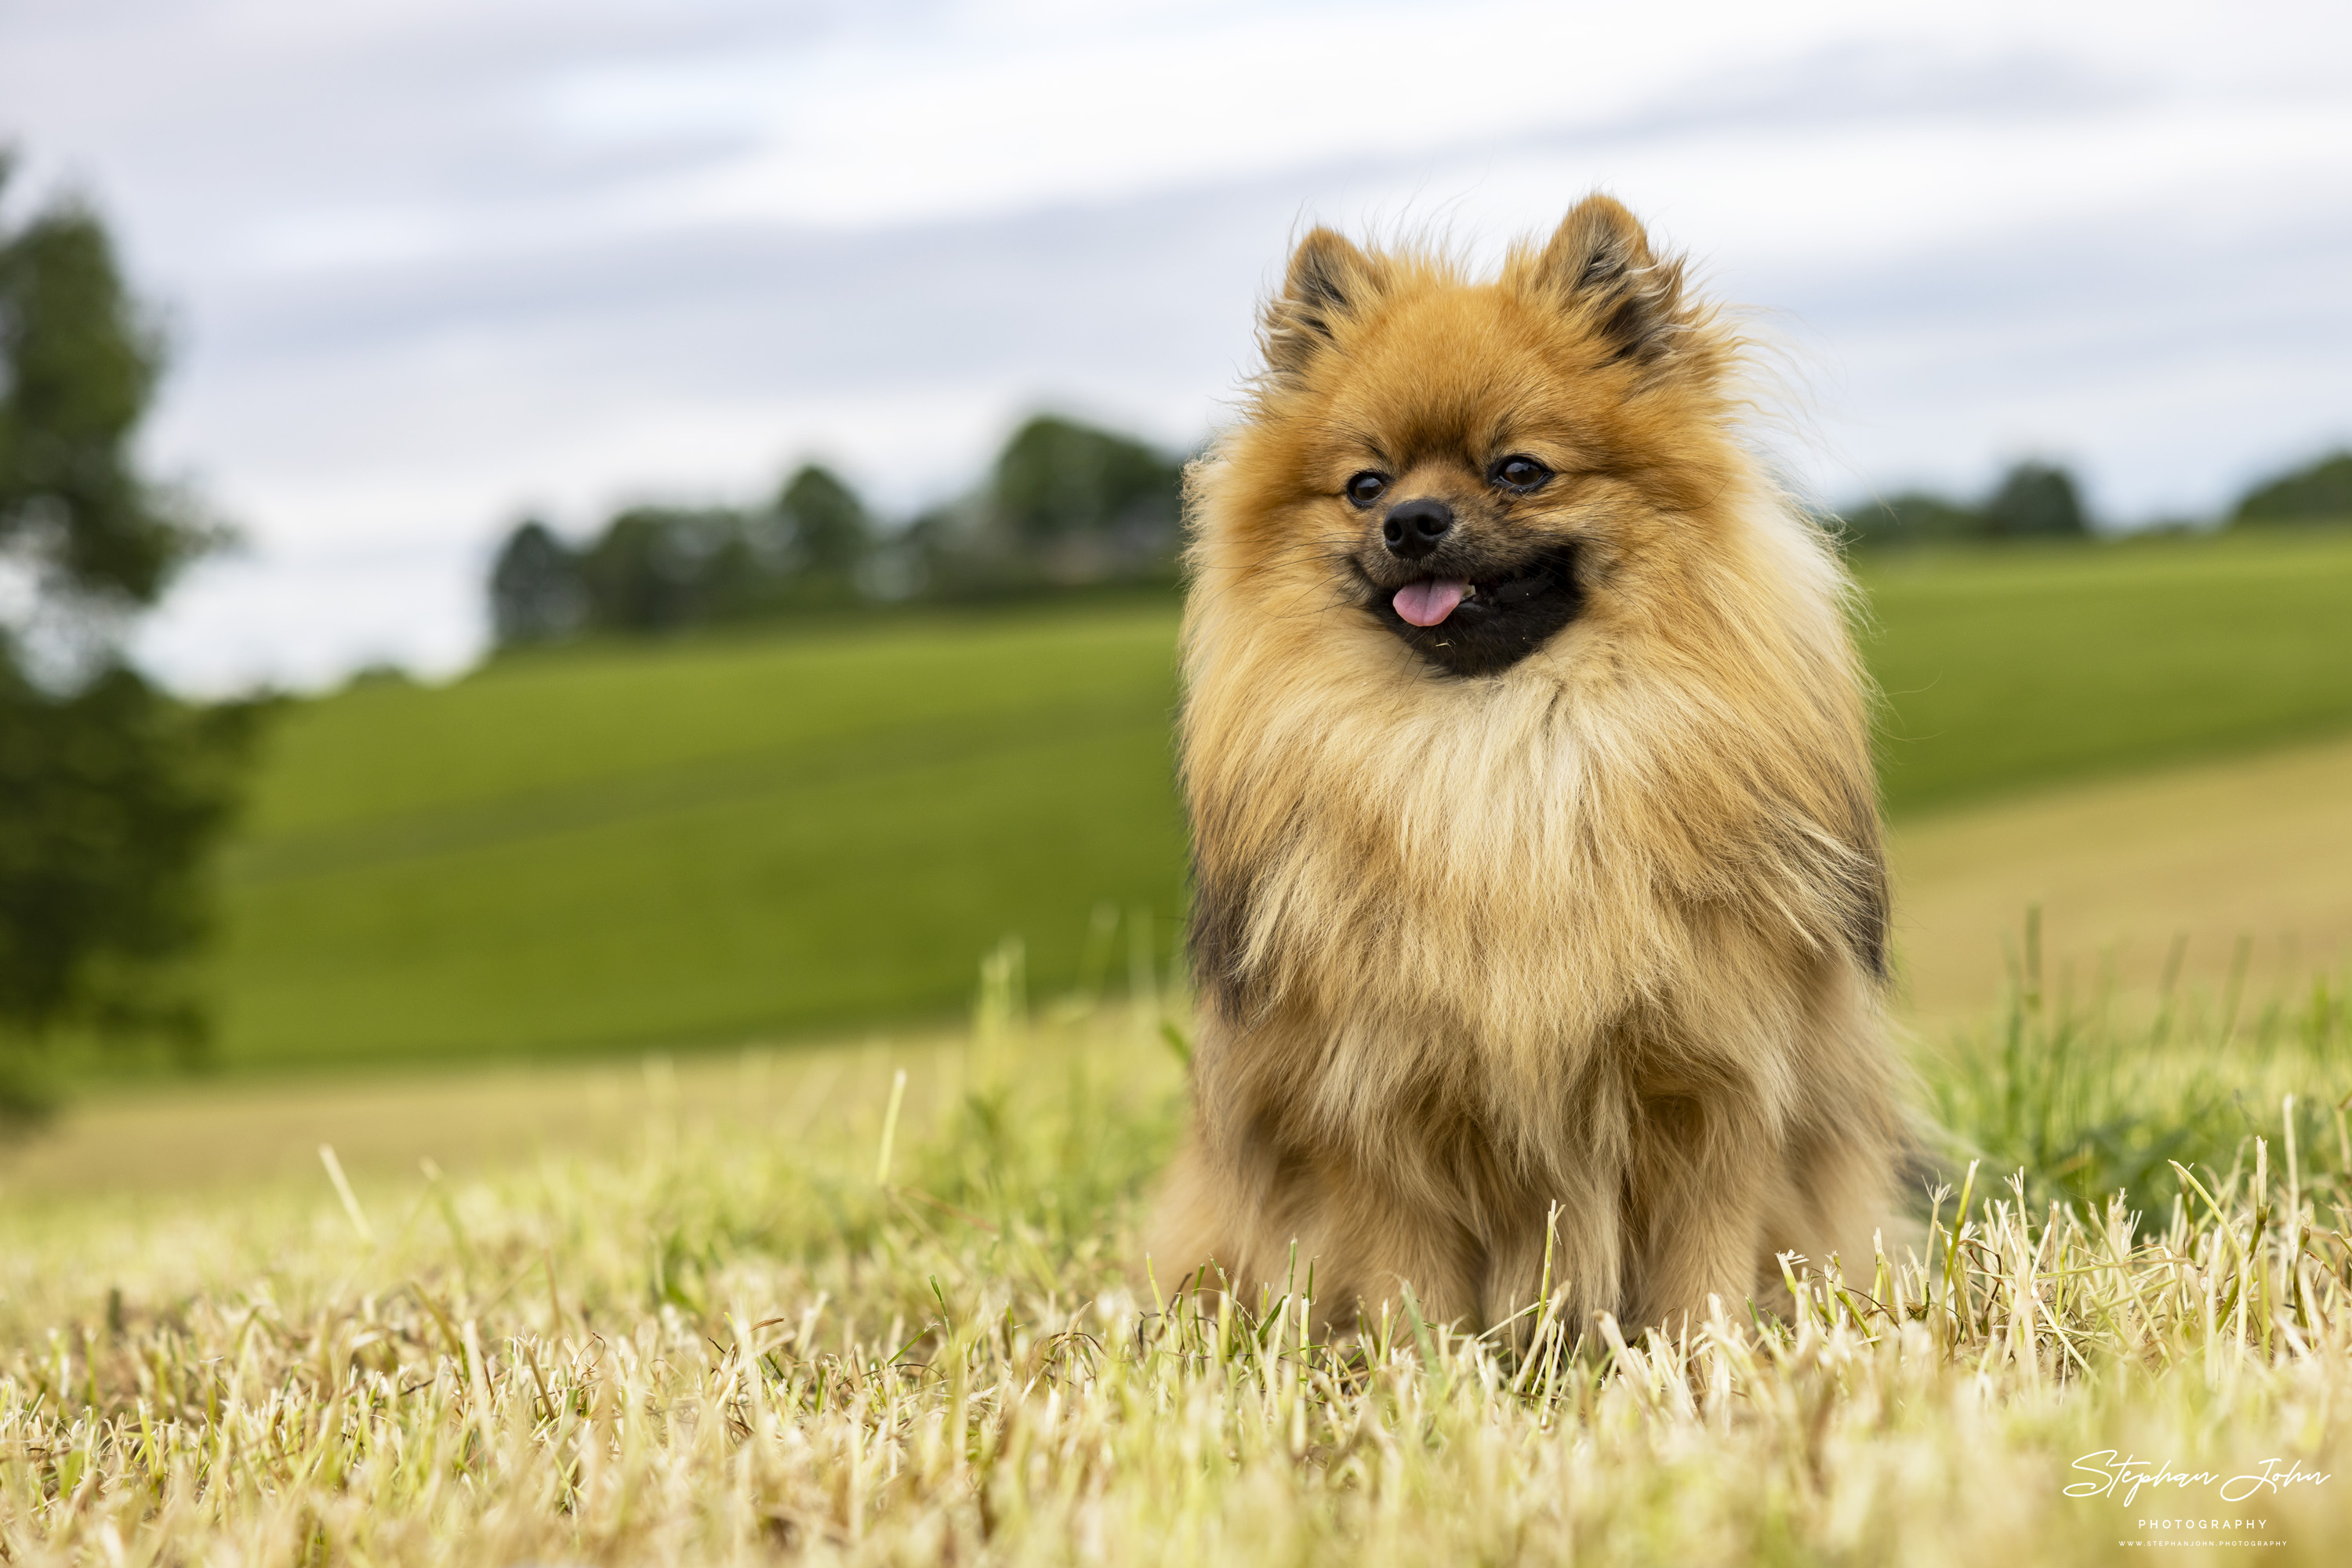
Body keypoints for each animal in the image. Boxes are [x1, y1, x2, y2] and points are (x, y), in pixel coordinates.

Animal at [1157, 196, 1910, 1345]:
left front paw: (1709, 1365)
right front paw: (1418, 1372)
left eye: (1520, 470)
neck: (1502, 750)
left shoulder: (1717, 1082)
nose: (1410, 523)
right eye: (1364, 485)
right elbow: (1407, 1283)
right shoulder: (1369, 1107)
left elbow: (1703, 1273)